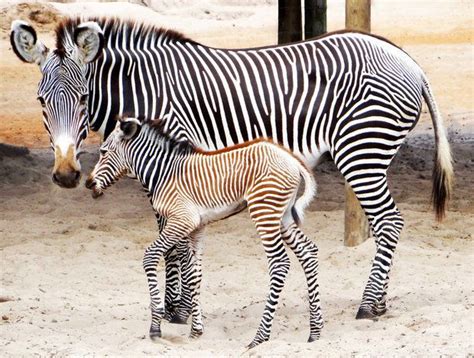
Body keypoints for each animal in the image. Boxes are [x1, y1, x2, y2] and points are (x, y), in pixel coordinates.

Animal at [11, 17, 452, 322]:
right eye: (40, 101)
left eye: (84, 97)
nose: (66, 175)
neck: (144, 92)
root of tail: (408, 60)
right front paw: (175, 306)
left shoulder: (173, 158)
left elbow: (172, 240)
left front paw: (176, 311)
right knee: (386, 224)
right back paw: (379, 303)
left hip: (362, 149)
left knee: (390, 222)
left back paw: (366, 306)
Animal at [85, 116, 322, 348]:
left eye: (103, 151)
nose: (87, 183)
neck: (163, 172)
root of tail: (291, 158)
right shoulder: (197, 227)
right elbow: (194, 273)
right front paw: (196, 330)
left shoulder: (181, 221)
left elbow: (150, 256)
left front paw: (156, 326)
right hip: (283, 217)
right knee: (309, 252)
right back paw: (315, 333)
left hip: (265, 213)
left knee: (280, 263)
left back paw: (260, 337)